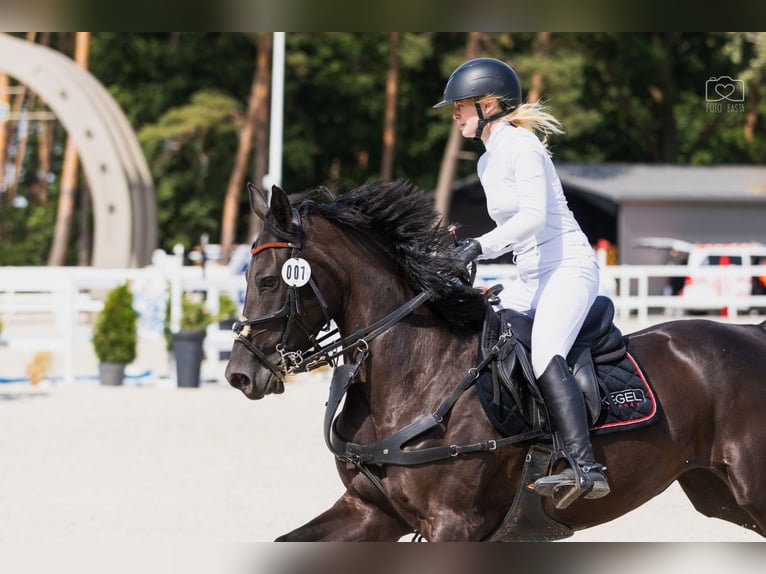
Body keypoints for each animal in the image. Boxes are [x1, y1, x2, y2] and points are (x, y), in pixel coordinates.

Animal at [225, 179, 766, 542]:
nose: (239, 375)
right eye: (246, 273)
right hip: (717, 493)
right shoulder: (369, 511)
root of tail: (752, 333)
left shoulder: (453, 526)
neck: (417, 374)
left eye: (269, 280)